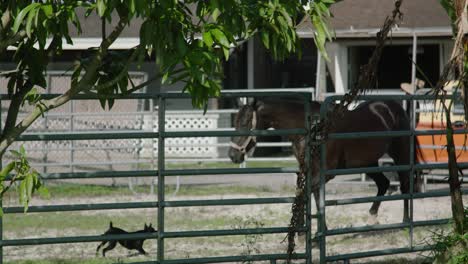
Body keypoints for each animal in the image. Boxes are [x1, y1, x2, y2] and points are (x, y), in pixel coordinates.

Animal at [229, 98, 424, 223]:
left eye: (245, 122)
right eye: (235, 121)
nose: (232, 155)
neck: (313, 128)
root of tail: (395, 107)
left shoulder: (325, 173)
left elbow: (308, 195)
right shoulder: (311, 171)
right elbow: (315, 198)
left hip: (400, 155)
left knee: (405, 184)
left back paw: (405, 221)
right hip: (367, 162)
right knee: (384, 183)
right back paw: (372, 217)